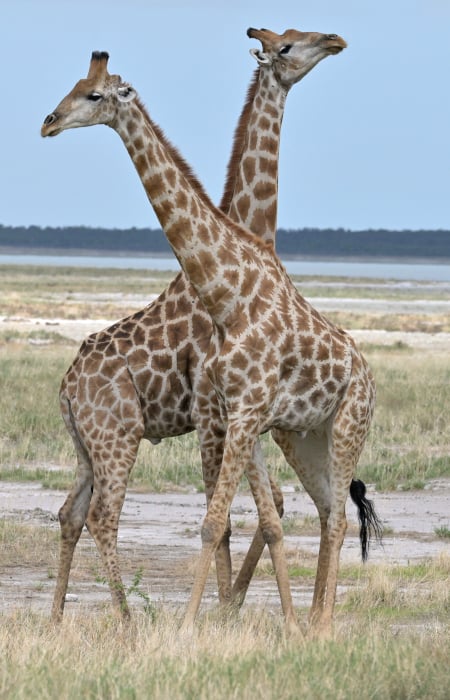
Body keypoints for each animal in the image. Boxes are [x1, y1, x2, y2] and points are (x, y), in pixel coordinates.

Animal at [41, 39, 384, 640]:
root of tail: (66, 384)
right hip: (126, 437)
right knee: (94, 515)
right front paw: (218, 616)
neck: (232, 287)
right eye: (79, 89)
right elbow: (238, 518)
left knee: (336, 514)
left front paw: (217, 616)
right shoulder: (226, 413)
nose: (49, 122)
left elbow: (237, 517)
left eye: (95, 94)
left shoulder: (236, 416)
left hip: (338, 426)